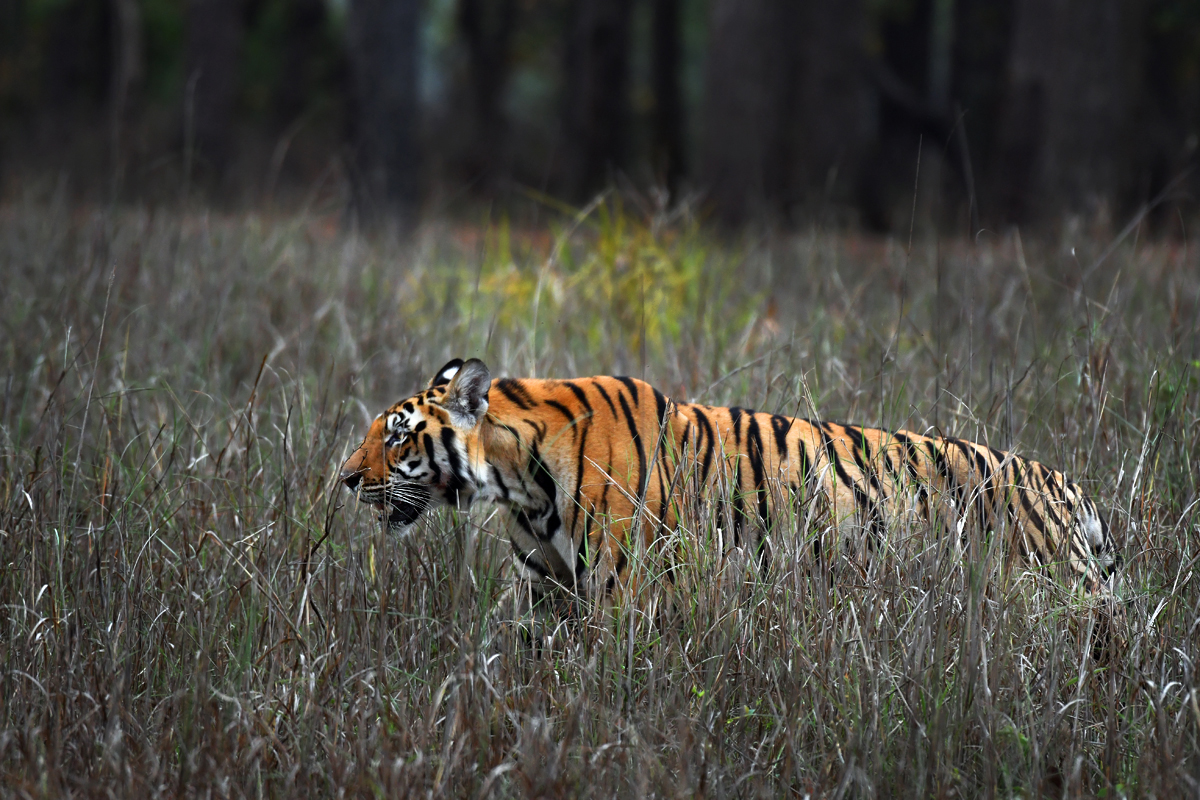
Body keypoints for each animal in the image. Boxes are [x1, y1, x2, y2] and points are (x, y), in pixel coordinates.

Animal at [340, 357, 1123, 606]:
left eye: (397, 435)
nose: (344, 479)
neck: (519, 484)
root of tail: (1066, 484)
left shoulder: (624, 586)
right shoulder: (546, 591)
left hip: (1053, 597)